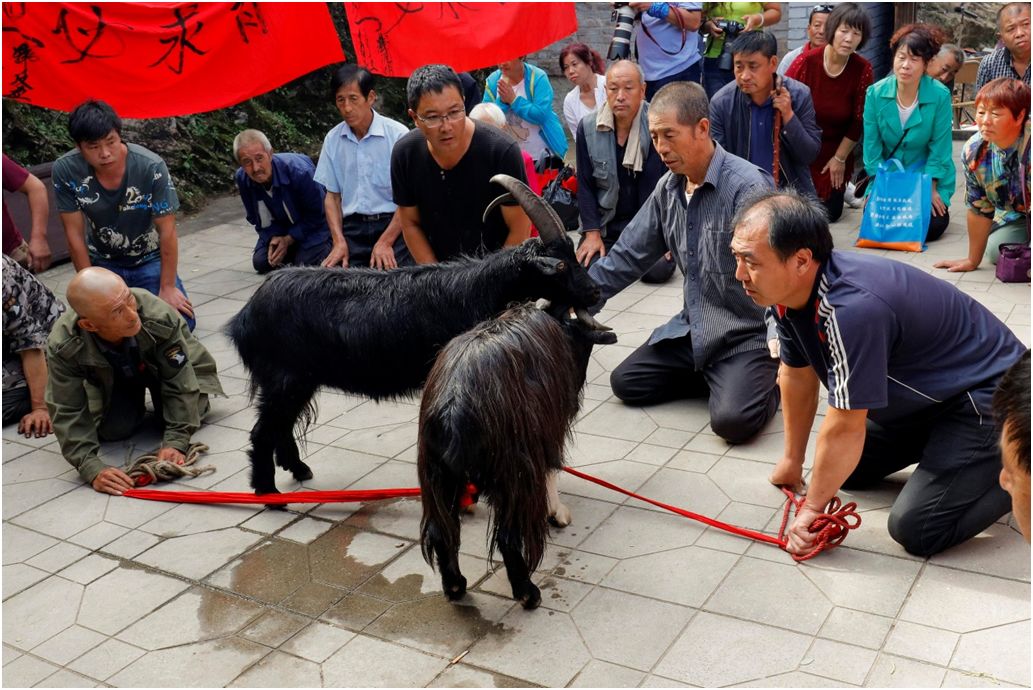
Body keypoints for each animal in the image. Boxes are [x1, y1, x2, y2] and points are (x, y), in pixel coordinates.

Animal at [226, 176, 607, 495]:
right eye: (559, 265)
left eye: (574, 254)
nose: (594, 292)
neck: (480, 290)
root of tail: (244, 317)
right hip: (284, 379)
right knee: (263, 432)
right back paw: (267, 493)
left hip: (297, 381)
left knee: (281, 427)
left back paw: (298, 470)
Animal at [417, 303, 611, 607]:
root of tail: (454, 406)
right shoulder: (545, 434)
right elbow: (551, 469)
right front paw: (557, 513)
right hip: (512, 474)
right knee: (508, 537)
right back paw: (527, 593)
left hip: (437, 476)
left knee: (441, 531)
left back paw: (455, 586)